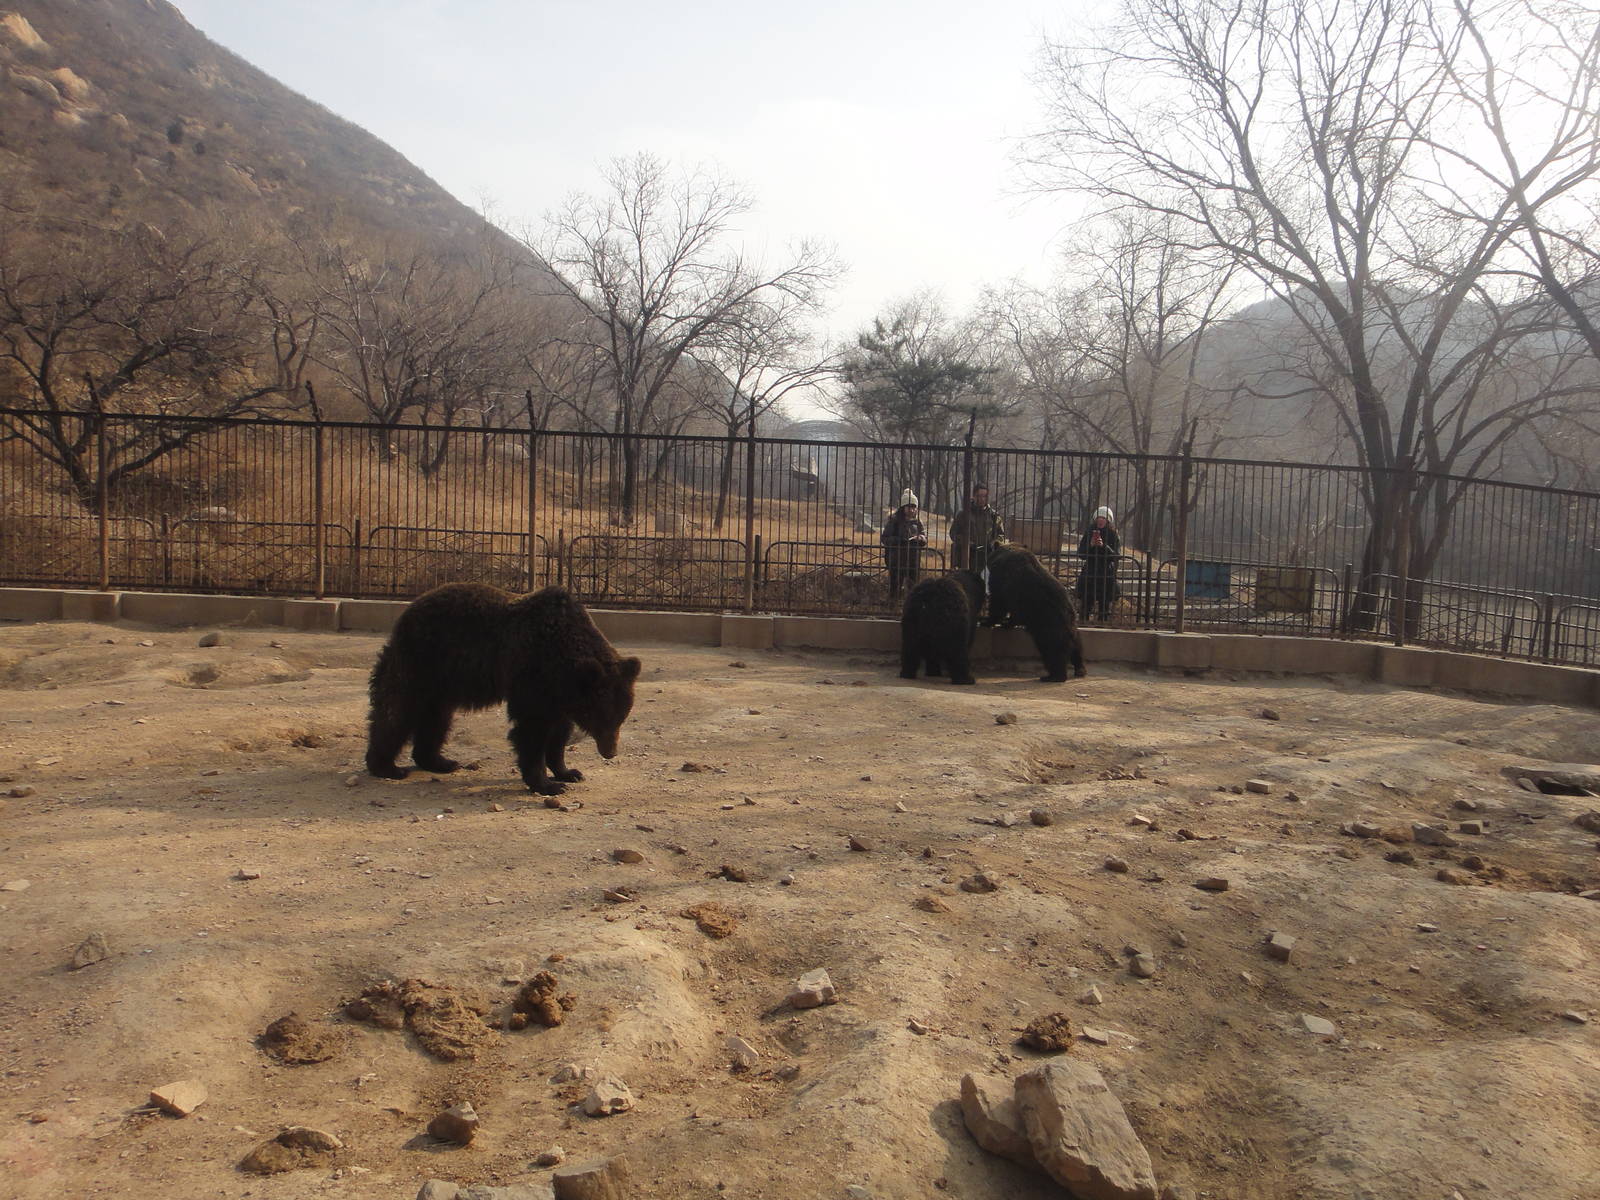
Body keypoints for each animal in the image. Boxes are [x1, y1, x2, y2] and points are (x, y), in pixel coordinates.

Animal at [364, 582, 641, 796]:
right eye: (602, 718)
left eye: (621, 717)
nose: (610, 752)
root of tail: (407, 613)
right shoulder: (531, 675)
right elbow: (531, 731)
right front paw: (546, 784)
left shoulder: (559, 693)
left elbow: (559, 733)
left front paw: (568, 772)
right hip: (421, 661)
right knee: (397, 709)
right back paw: (386, 766)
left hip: (442, 681)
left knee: (436, 718)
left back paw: (439, 761)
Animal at [986, 546, 1087, 681]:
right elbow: (1014, 613)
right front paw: (1007, 622)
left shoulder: (1003, 581)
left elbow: (998, 601)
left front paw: (989, 620)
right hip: (1071, 627)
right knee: (1078, 648)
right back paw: (1080, 669)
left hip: (1048, 627)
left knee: (1053, 652)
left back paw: (1052, 676)